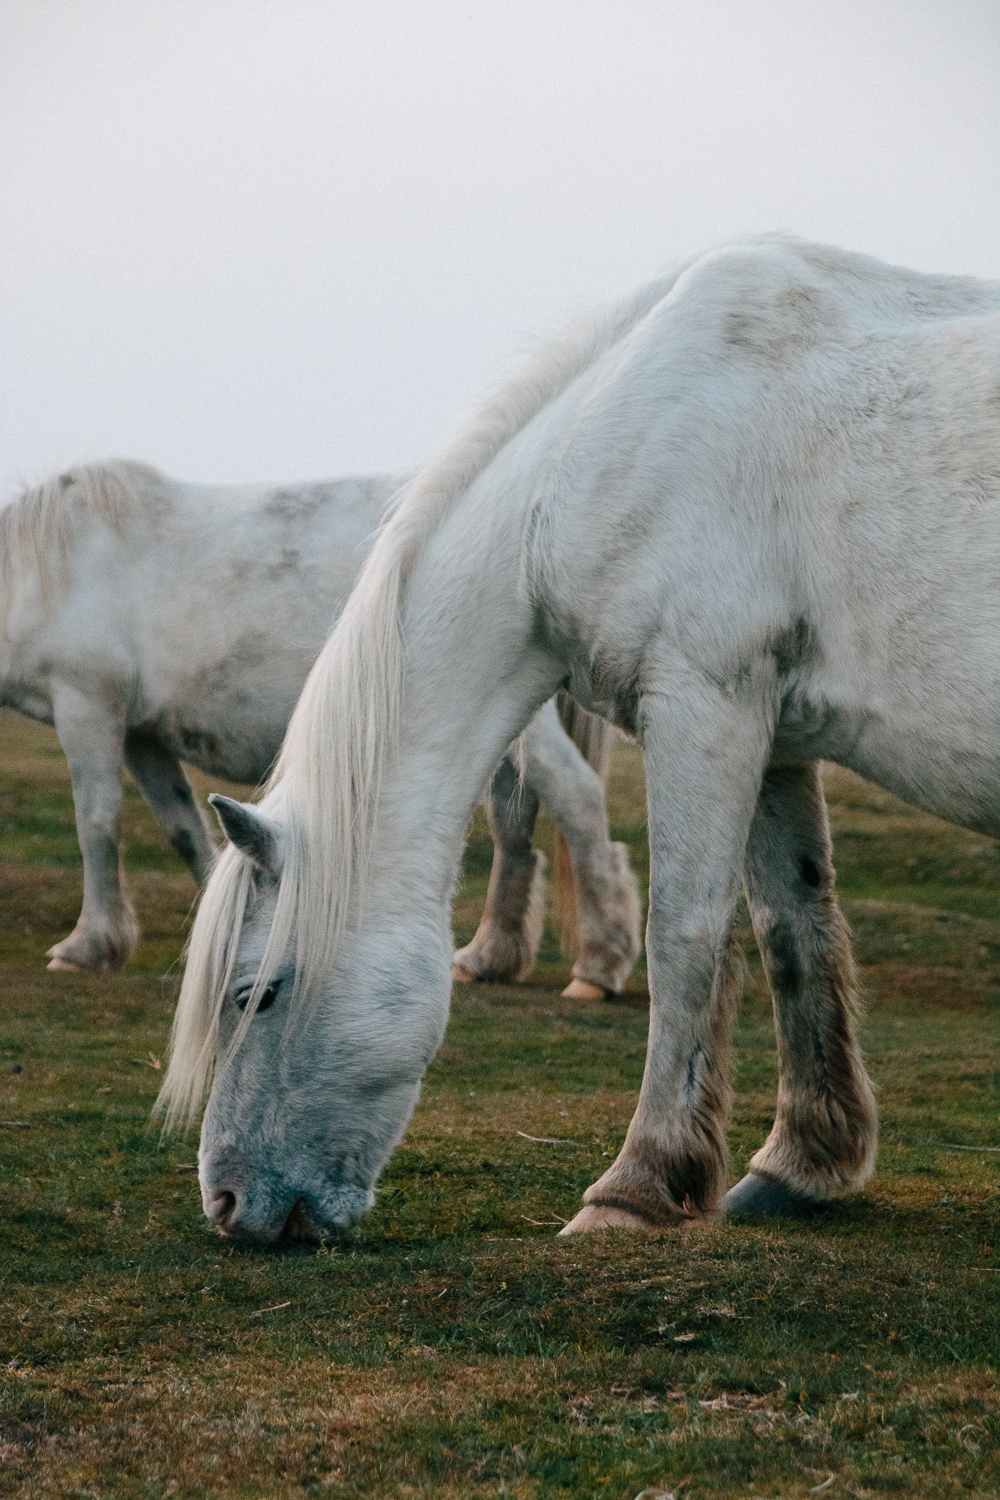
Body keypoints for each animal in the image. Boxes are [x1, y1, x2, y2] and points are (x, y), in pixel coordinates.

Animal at [0, 456, 641, 996]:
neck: (46, 571)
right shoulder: (142, 736)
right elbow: (183, 828)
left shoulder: (87, 709)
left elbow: (97, 824)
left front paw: (86, 947)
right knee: (514, 824)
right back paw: (489, 958)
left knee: (578, 800)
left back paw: (598, 967)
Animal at [158, 234, 1000, 1242]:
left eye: (254, 992)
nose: (226, 1203)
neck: (616, 441)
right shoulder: (775, 737)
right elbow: (794, 929)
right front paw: (801, 1164)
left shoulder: (704, 703)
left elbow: (685, 936)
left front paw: (636, 1187)